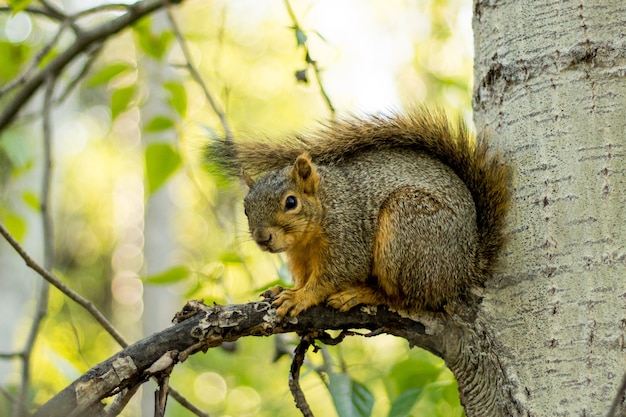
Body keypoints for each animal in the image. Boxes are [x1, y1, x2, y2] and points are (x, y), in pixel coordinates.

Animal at [205, 109, 508, 316]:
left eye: (291, 202)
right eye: (246, 209)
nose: (262, 238)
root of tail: (466, 268)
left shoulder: (348, 240)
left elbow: (332, 277)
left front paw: (300, 297)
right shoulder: (300, 259)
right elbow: (304, 278)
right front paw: (288, 289)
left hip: (406, 232)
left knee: (404, 298)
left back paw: (360, 295)